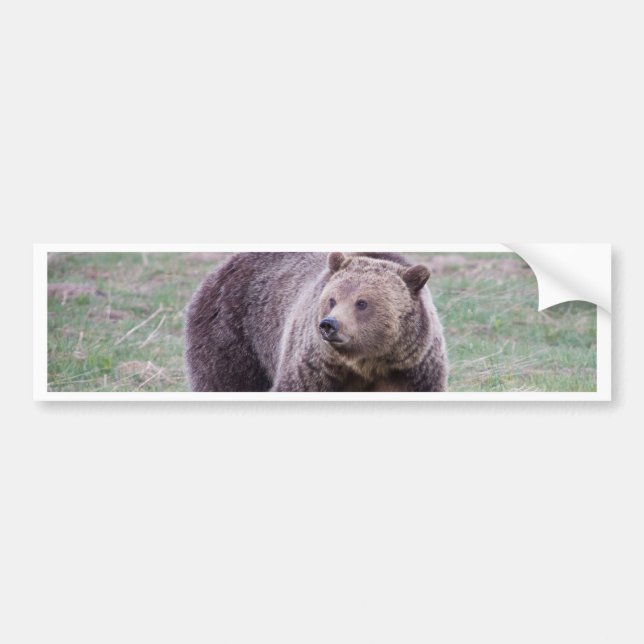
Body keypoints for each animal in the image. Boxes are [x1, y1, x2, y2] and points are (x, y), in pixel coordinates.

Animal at [184, 252, 448, 392]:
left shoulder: (413, 371)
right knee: (226, 381)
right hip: (232, 334)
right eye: (332, 299)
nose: (329, 325)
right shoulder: (314, 368)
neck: (365, 364)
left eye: (361, 302)